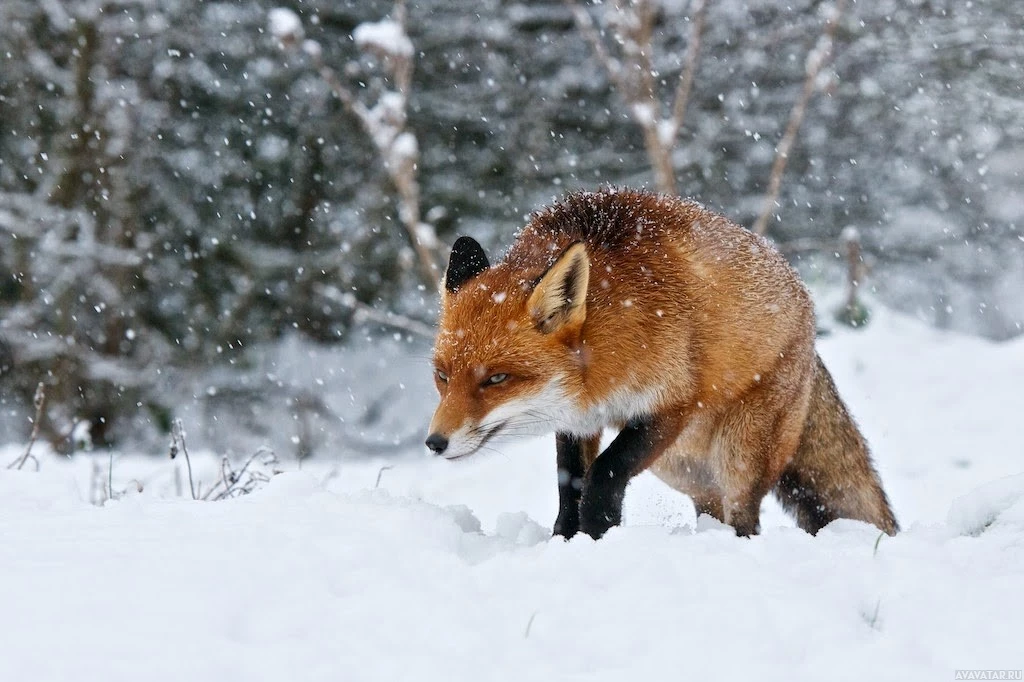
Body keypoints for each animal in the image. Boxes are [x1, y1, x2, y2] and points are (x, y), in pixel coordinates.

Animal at [423, 186, 897, 536]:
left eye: (497, 378)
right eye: (442, 376)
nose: (434, 443)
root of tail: (807, 305)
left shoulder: (674, 404)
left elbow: (603, 475)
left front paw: (599, 532)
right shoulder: (578, 421)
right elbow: (570, 487)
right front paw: (567, 540)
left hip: (737, 455)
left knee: (745, 518)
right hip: (682, 468)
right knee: (710, 510)